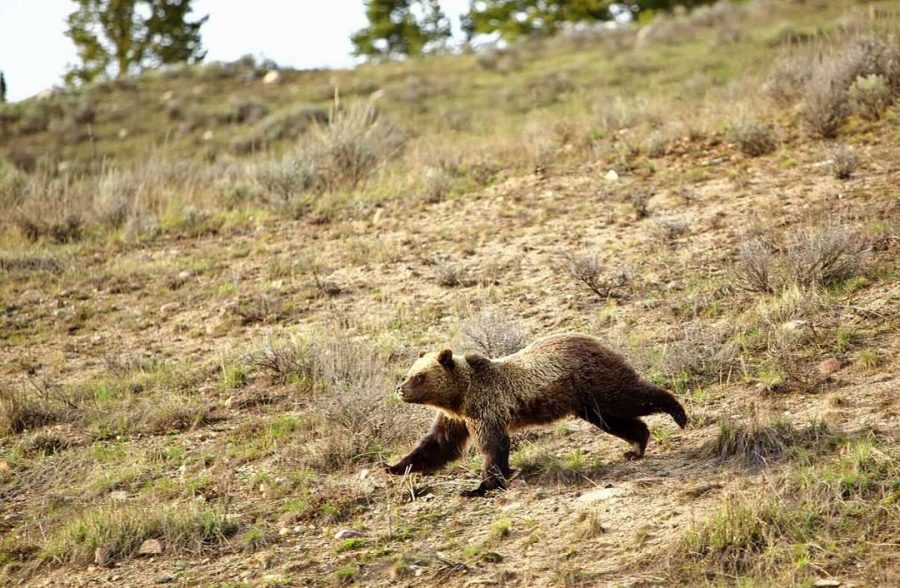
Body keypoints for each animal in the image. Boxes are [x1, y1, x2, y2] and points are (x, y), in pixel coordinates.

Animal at [384, 334, 684, 494]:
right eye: (409, 373)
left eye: (419, 376)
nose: (400, 388)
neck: (460, 395)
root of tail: (597, 341)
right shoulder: (456, 418)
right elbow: (438, 444)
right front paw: (395, 466)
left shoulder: (485, 407)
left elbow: (493, 445)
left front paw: (481, 486)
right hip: (587, 401)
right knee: (613, 420)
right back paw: (636, 446)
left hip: (596, 380)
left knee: (631, 397)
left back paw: (678, 413)